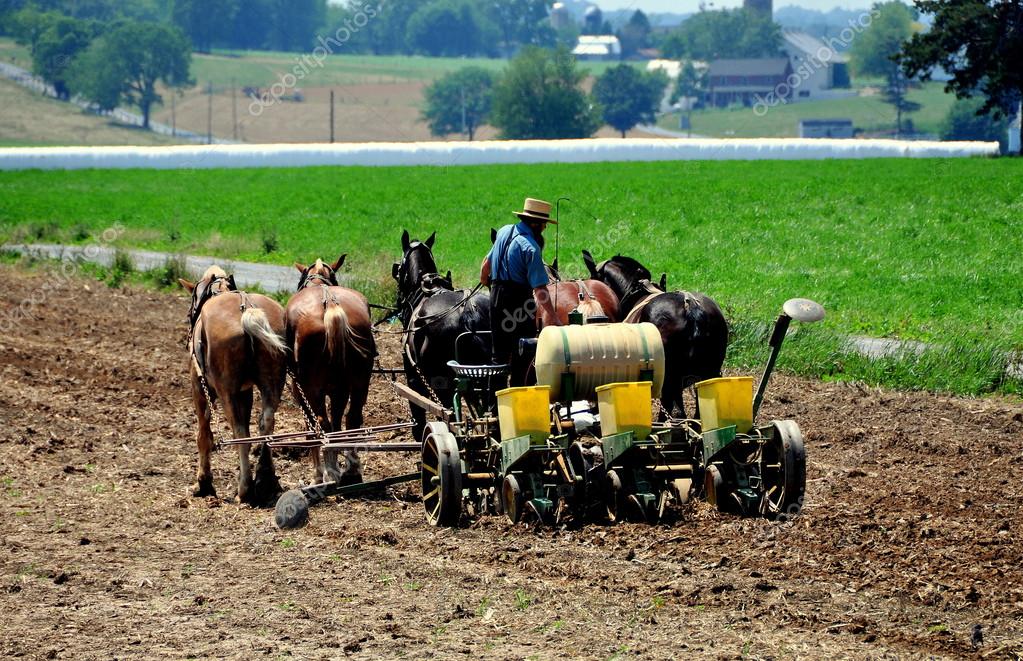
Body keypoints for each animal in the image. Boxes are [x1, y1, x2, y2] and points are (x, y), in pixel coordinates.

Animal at [180, 266, 288, 505]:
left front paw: (203, 483)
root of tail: (248, 311)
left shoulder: (199, 386)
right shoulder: (245, 391)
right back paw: (265, 480)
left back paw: (244, 489)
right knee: (266, 423)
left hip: (225, 390)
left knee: (240, 433)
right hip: (272, 382)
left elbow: (204, 434)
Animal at [288, 256, 376, 485]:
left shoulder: (300, 392)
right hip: (359, 382)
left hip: (310, 389)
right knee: (353, 419)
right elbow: (337, 422)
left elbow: (312, 428)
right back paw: (351, 471)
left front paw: (319, 474)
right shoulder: (339, 391)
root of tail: (331, 305)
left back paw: (327, 473)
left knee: (321, 424)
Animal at [390, 230, 491, 442]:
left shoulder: (414, 377)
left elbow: (419, 414)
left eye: (398, 269)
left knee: (449, 417)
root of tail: (468, 311)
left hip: (442, 383)